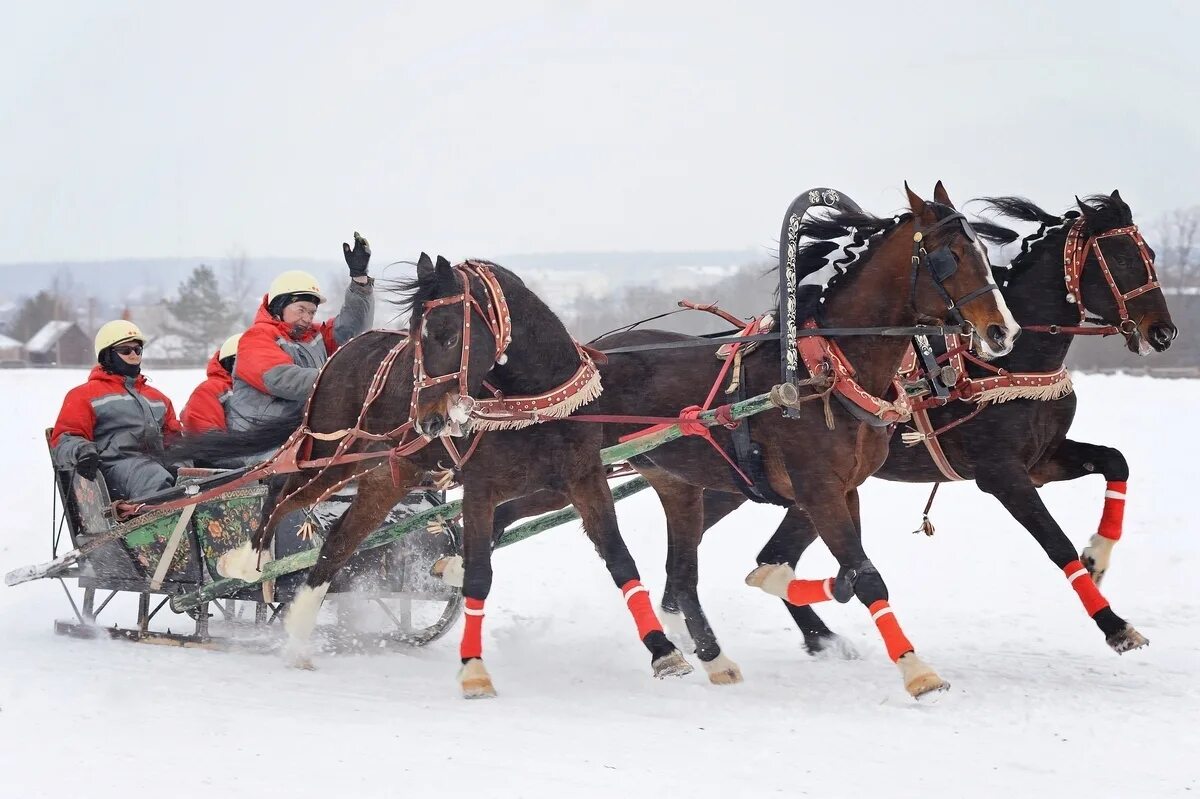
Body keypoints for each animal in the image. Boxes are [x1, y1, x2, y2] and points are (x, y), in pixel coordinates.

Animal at [174, 251, 691, 695]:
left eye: (445, 332)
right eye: (415, 332)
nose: (427, 419)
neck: (531, 403)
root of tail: (342, 353)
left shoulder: (583, 478)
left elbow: (621, 561)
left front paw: (664, 650)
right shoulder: (483, 488)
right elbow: (479, 576)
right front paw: (474, 670)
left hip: (385, 475)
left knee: (338, 540)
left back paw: (299, 634)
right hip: (329, 450)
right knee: (281, 490)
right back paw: (248, 561)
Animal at [492, 178, 1017, 691]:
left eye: (984, 250)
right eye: (949, 256)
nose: (1002, 332)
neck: (823, 371)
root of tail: (585, 356)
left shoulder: (845, 488)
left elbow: (843, 576)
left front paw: (782, 586)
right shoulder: (818, 488)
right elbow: (865, 578)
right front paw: (917, 670)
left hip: (672, 482)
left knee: (681, 575)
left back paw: (713, 656)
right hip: (572, 472)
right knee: (504, 516)